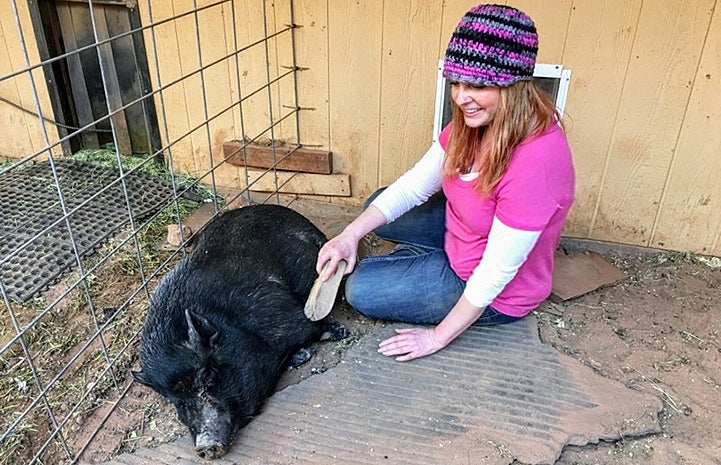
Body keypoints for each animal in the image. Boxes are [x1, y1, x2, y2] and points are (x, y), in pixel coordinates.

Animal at [135, 205, 348, 458]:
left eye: (207, 375)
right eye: (175, 400)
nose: (204, 446)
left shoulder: (275, 309)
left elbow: (310, 326)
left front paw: (339, 332)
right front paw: (303, 354)